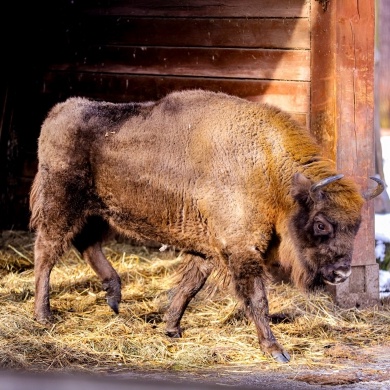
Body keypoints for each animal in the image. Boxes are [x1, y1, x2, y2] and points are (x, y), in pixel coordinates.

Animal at [29, 89, 384, 362]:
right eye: (321, 224)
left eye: (357, 225)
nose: (342, 273)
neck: (270, 171)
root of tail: (57, 113)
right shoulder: (241, 249)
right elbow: (257, 297)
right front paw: (275, 350)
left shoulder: (209, 249)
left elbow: (190, 286)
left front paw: (171, 329)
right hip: (61, 206)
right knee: (46, 253)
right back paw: (44, 316)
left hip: (98, 212)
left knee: (87, 245)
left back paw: (114, 297)